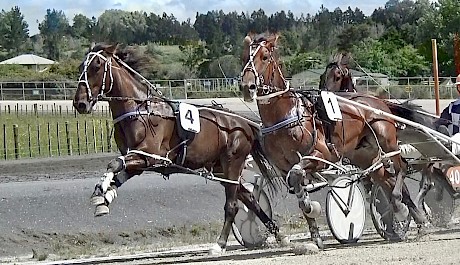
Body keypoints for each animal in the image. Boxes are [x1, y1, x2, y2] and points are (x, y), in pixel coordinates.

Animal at [73, 42, 286, 253]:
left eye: (97, 66)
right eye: (81, 66)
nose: (80, 103)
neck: (140, 111)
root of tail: (244, 123)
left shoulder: (150, 155)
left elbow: (114, 164)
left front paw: (101, 190)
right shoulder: (139, 159)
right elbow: (119, 171)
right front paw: (104, 197)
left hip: (233, 162)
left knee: (232, 205)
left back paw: (220, 244)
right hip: (221, 168)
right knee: (249, 198)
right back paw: (279, 235)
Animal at [239, 33, 430, 245]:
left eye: (264, 57)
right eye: (243, 58)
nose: (247, 86)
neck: (286, 115)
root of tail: (379, 101)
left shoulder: (321, 155)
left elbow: (298, 175)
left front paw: (311, 206)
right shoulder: (282, 167)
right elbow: (296, 183)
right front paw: (315, 234)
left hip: (387, 141)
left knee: (401, 168)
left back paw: (402, 206)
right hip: (364, 156)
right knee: (385, 179)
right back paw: (414, 217)